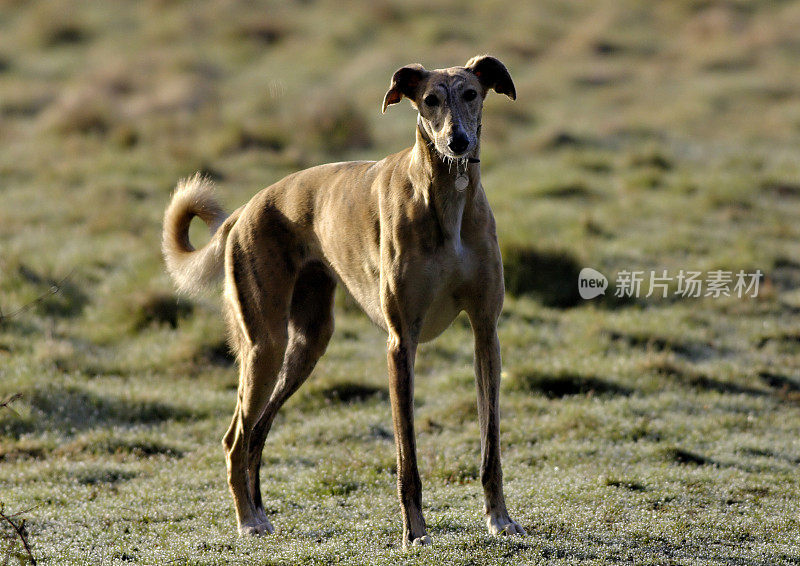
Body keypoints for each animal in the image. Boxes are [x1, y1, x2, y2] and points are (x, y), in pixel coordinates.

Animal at [162, 55, 524, 548]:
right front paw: (415, 533)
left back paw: (260, 514)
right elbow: (407, 458)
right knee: (236, 437)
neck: (446, 195)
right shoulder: (401, 343)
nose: (457, 142)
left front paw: (500, 519)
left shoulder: (485, 332)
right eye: (430, 100)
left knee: (257, 433)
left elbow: (491, 447)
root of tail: (245, 210)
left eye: (470, 93)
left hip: (307, 344)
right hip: (266, 345)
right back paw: (248, 521)